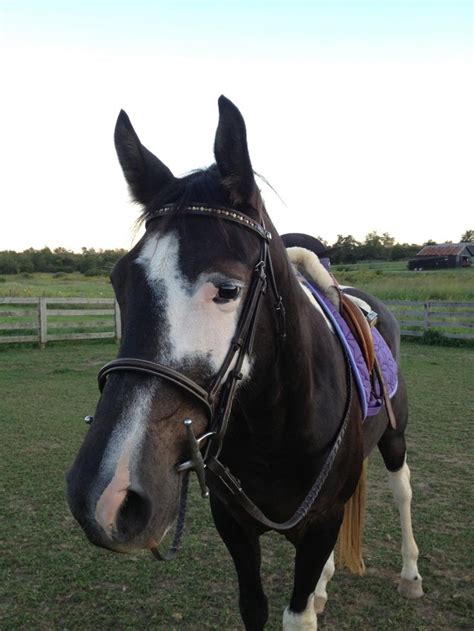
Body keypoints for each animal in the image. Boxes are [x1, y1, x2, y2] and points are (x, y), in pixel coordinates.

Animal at [65, 96, 422, 628]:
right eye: (118, 281)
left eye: (228, 289)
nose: (105, 496)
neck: (275, 429)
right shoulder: (234, 526)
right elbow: (255, 606)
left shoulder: (321, 523)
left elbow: (299, 616)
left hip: (394, 438)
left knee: (402, 491)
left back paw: (410, 574)